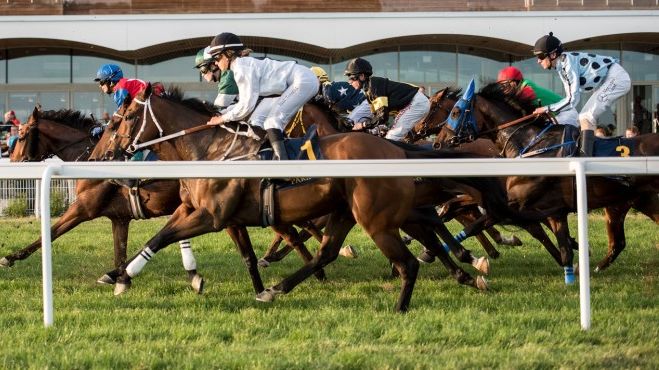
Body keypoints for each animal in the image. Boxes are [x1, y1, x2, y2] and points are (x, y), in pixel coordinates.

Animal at [91, 84, 552, 312]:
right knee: (334, 250)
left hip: (374, 217)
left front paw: (123, 279)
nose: (100, 157)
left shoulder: (211, 215)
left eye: (120, 120)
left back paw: (409, 301)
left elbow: (161, 238)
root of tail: (395, 147)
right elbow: (171, 238)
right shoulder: (202, 211)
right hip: (350, 211)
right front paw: (123, 276)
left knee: (412, 251)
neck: (209, 149)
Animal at [430, 84, 656, 274]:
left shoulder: (513, 204)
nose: (437, 143)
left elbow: (476, 224)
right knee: (619, 242)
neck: (530, 144)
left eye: (455, 112)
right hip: (636, 202)